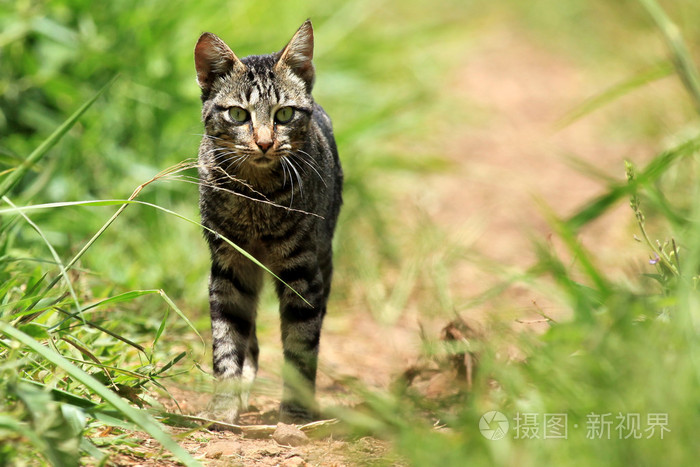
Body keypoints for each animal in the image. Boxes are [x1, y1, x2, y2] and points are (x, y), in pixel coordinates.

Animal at [193, 20, 344, 426]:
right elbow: (227, 341)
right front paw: (223, 405)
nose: (263, 142)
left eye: (285, 115)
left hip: (323, 257)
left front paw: (294, 411)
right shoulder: (228, 265)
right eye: (238, 115)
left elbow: (301, 342)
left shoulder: (302, 271)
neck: (257, 199)